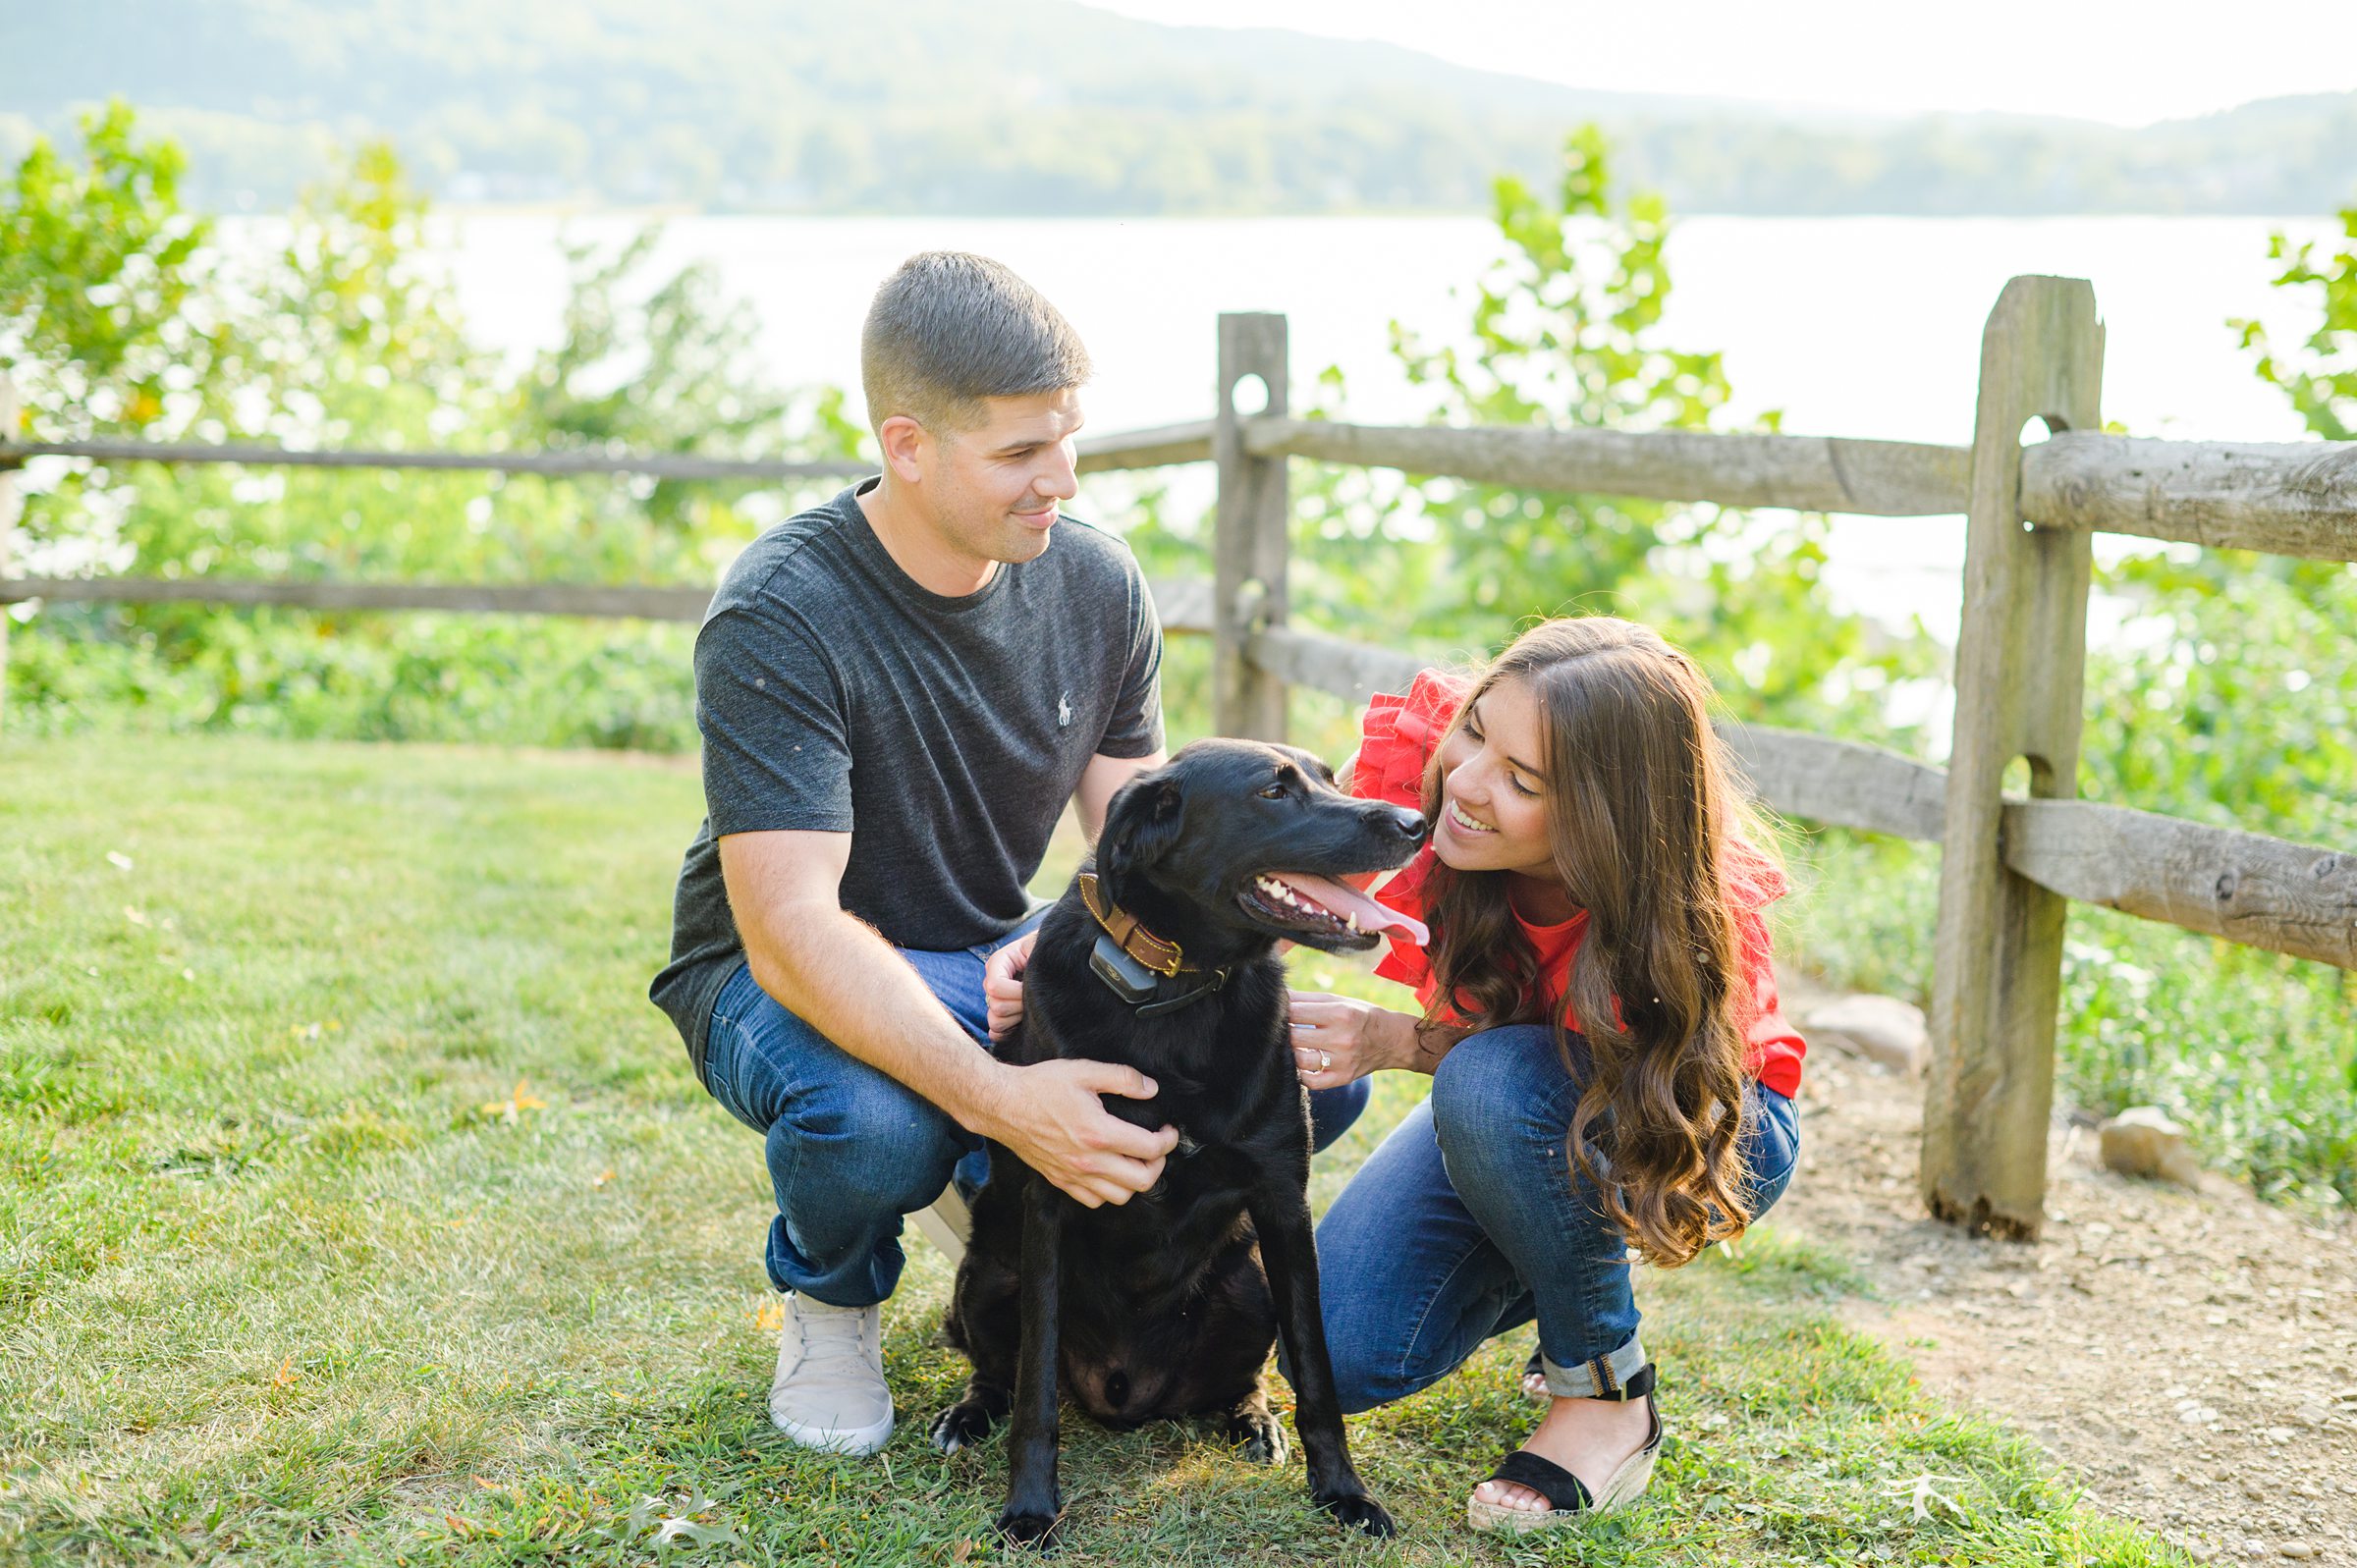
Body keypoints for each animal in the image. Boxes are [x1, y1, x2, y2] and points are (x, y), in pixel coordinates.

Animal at [933, 740, 1414, 1546]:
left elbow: (1315, 1370)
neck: (1177, 991)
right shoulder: (1049, 1201)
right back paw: (968, 1414)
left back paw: (1253, 1421)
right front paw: (1029, 1508)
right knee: (999, 1371)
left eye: (1329, 777)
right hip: (990, 1273)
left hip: (1251, 1284)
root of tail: (1125, 1395)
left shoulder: (1283, 1205)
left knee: (1247, 1379)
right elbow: (1034, 1391)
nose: (1416, 821)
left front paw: (1343, 1492)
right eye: (1272, 792)